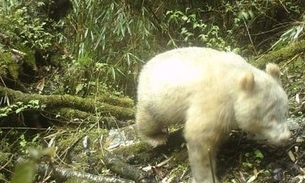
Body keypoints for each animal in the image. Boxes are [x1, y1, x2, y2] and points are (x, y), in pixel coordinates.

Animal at [135, 47, 290, 183]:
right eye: (271, 117)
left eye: (285, 112)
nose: (285, 137)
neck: (235, 79)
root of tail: (144, 67)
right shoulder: (214, 100)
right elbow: (200, 139)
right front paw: (207, 177)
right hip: (155, 99)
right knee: (149, 120)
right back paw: (157, 137)